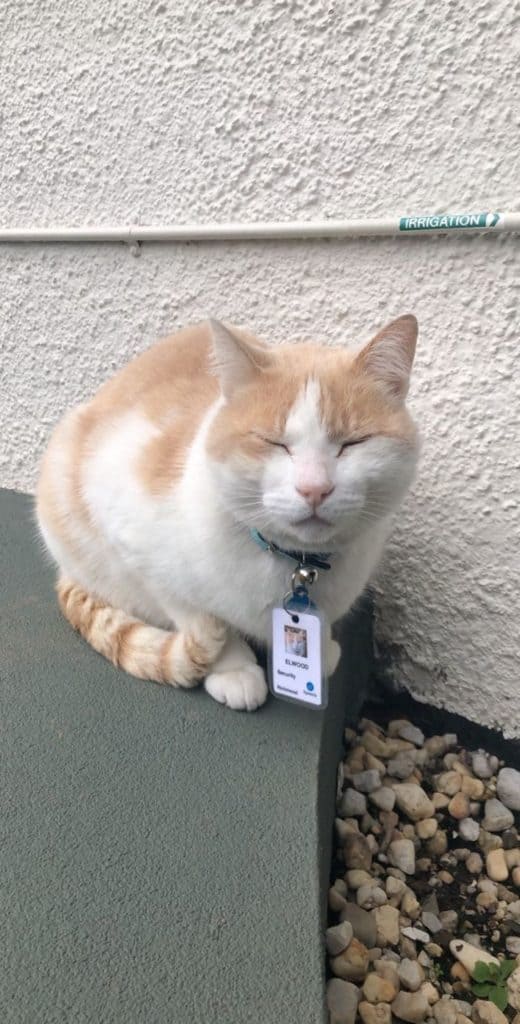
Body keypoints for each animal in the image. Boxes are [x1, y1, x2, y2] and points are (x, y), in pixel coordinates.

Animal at [35, 313, 417, 712]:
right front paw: (233, 669)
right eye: (273, 443)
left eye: (354, 443)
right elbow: (196, 615)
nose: (314, 488)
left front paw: (321, 649)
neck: (293, 562)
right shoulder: (135, 546)